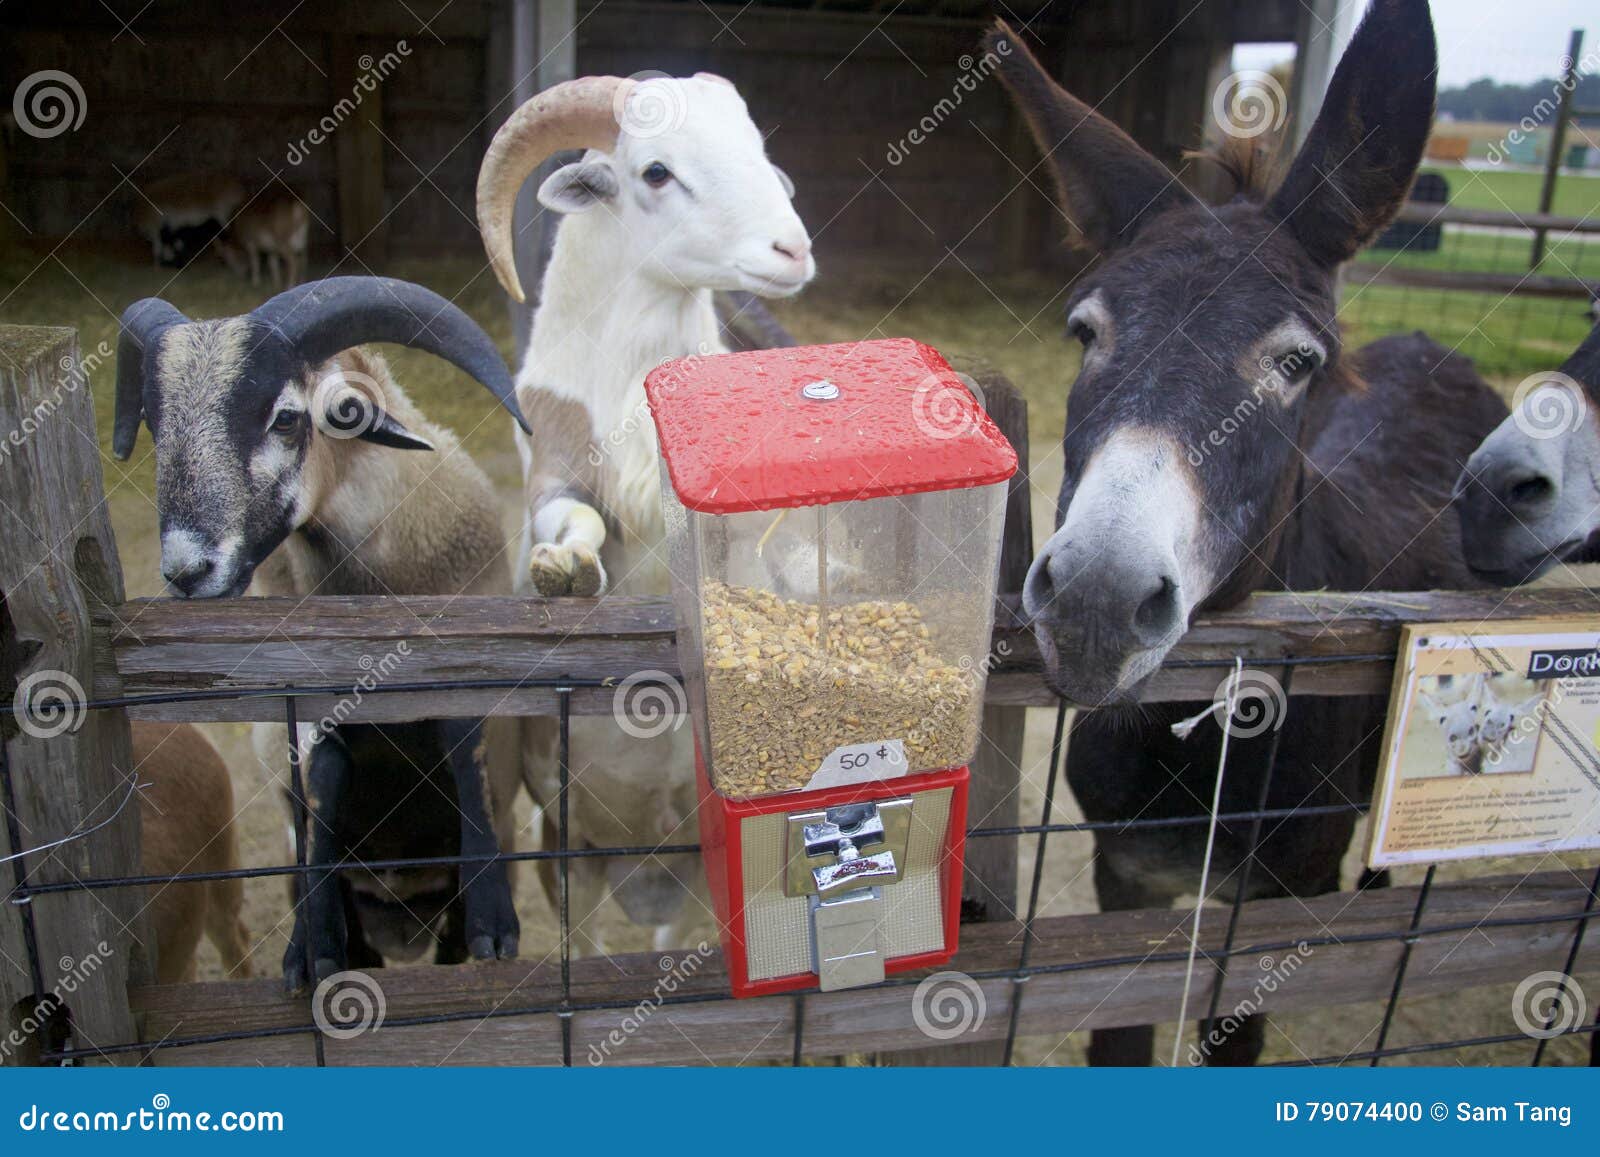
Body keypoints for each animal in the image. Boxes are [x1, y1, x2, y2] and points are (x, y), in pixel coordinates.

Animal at [473, 70, 812, 947]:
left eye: (753, 144)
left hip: (693, 859)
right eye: (656, 171)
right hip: (570, 847)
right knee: (587, 939)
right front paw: (564, 570)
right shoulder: (556, 472)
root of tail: (643, 875)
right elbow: (578, 523)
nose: (792, 251)